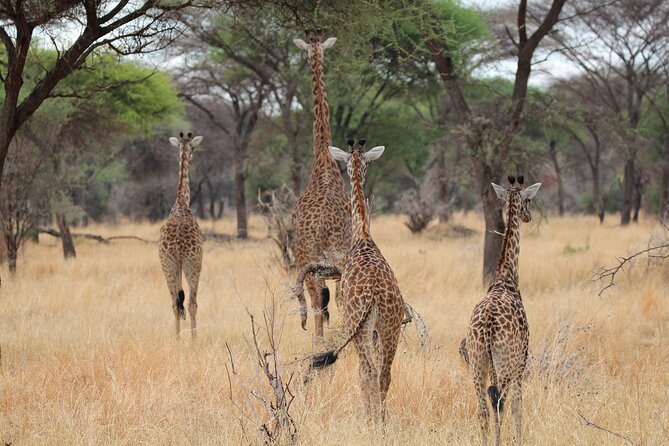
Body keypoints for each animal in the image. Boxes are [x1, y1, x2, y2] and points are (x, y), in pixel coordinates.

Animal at [308, 138, 405, 424]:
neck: (362, 235)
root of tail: (375, 296)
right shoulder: (377, 331)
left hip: (360, 327)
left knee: (367, 371)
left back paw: (371, 419)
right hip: (390, 327)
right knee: (384, 373)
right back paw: (382, 420)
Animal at [462, 175, 541, 445]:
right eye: (529, 200)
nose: (528, 216)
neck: (507, 277)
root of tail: (486, 328)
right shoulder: (521, 361)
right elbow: (518, 407)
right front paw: (519, 439)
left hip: (477, 361)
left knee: (482, 409)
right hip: (503, 363)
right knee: (500, 402)